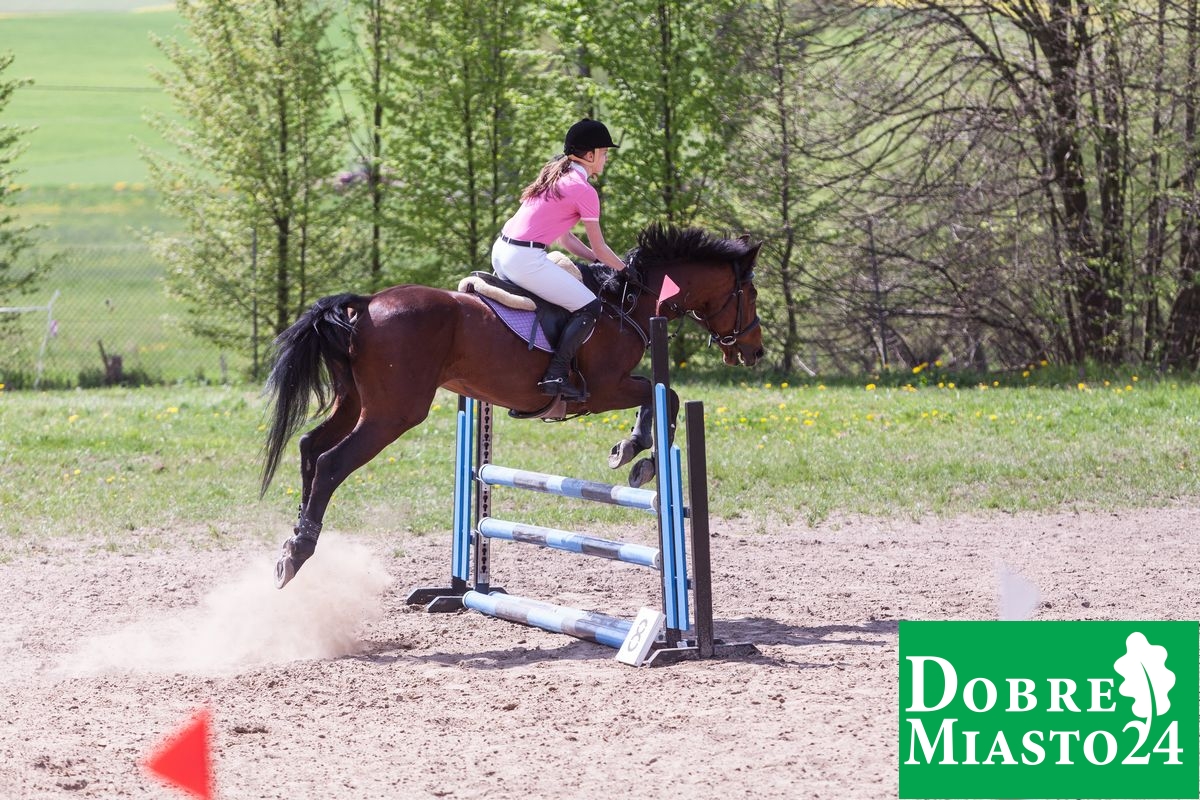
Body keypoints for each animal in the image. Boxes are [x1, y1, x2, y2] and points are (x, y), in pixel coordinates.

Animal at [260, 223, 764, 588]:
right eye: (752, 294)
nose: (754, 352)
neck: (630, 303)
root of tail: (365, 305)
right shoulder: (606, 389)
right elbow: (666, 398)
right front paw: (639, 457)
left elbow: (661, 398)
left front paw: (632, 453)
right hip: (392, 414)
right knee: (330, 462)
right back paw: (298, 553)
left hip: (355, 402)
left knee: (310, 449)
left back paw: (292, 541)